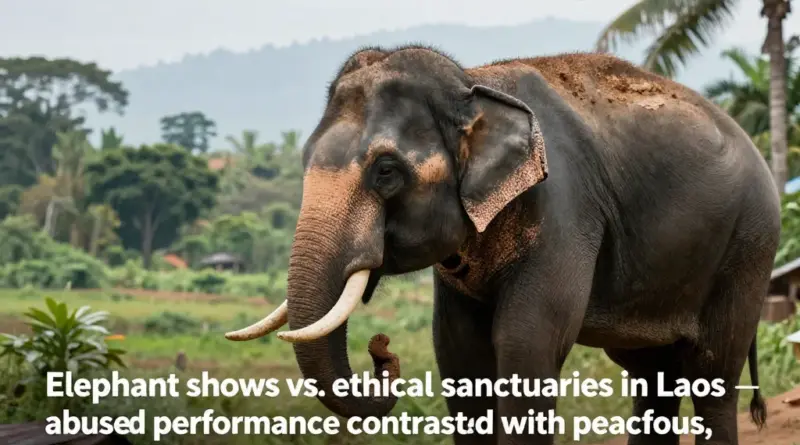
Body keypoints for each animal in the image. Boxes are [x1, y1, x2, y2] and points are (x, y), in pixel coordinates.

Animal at [225, 45, 781, 445]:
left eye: (386, 171)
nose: (381, 348)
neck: (474, 82)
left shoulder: (564, 207)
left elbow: (525, 346)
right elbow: (459, 354)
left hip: (748, 248)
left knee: (711, 378)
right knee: (651, 380)